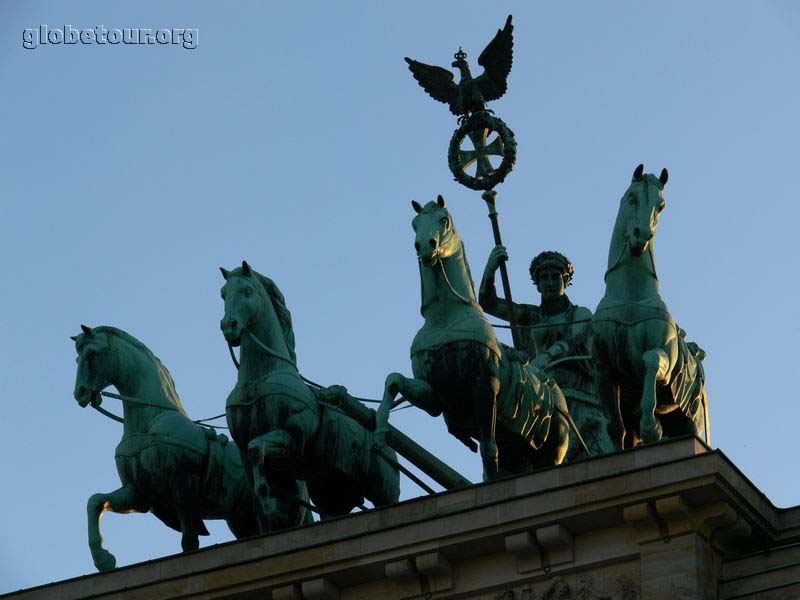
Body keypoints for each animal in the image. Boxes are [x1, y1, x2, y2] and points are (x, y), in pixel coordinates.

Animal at [376, 195, 568, 480]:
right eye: (414, 224)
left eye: (444, 220)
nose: (425, 247)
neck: (445, 318)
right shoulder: (436, 395)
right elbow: (394, 380)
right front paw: (380, 432)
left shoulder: (485, 387)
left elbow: (489, 450)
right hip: (519, 451)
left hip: (552, 449)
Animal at [592, 166, 708, 448]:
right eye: (632, 197)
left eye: (661, 205)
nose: (641, 235)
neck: (631, 298)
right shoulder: (603, 370)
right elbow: (614, 428)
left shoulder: (662, 358)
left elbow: (650, 359)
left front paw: (651, 427)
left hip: (691, 420)